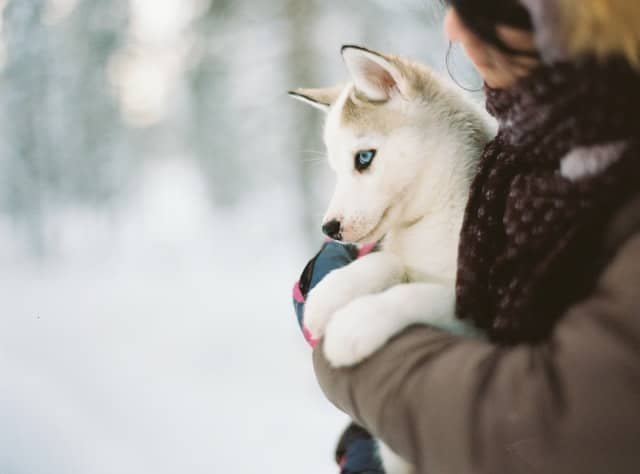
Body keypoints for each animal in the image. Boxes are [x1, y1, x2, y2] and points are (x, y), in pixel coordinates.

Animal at [292, 45, 496, 474]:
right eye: (335, 167)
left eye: (364, 158)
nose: (329, 227)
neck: (430, 219)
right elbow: (384, 263)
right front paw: (330, 295)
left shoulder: (481, 311)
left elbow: (418, 294)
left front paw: (354, 325)